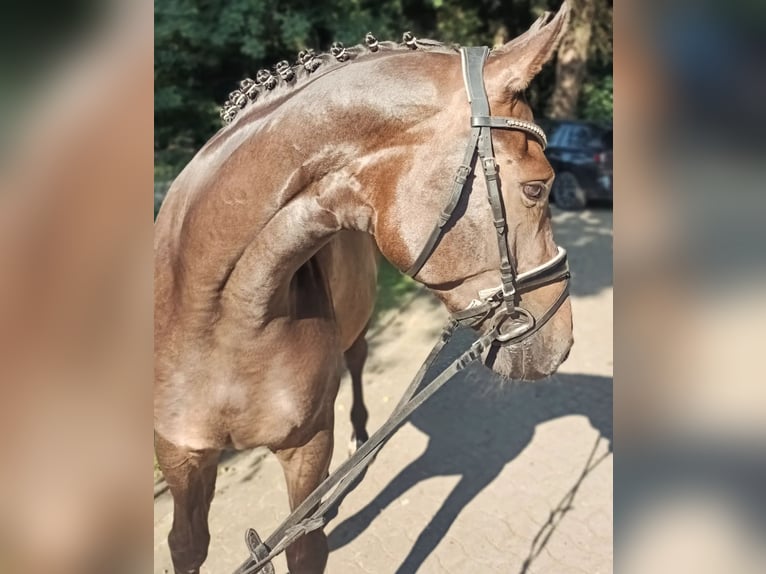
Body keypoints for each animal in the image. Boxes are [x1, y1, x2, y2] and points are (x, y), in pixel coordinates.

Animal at [156, 5, 572, 574]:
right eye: (536, 186)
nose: (563, 339)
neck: (221, 320)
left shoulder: (308, 447)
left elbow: (305, 546)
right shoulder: (181, 458)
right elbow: (186, 544)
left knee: (355, 366)